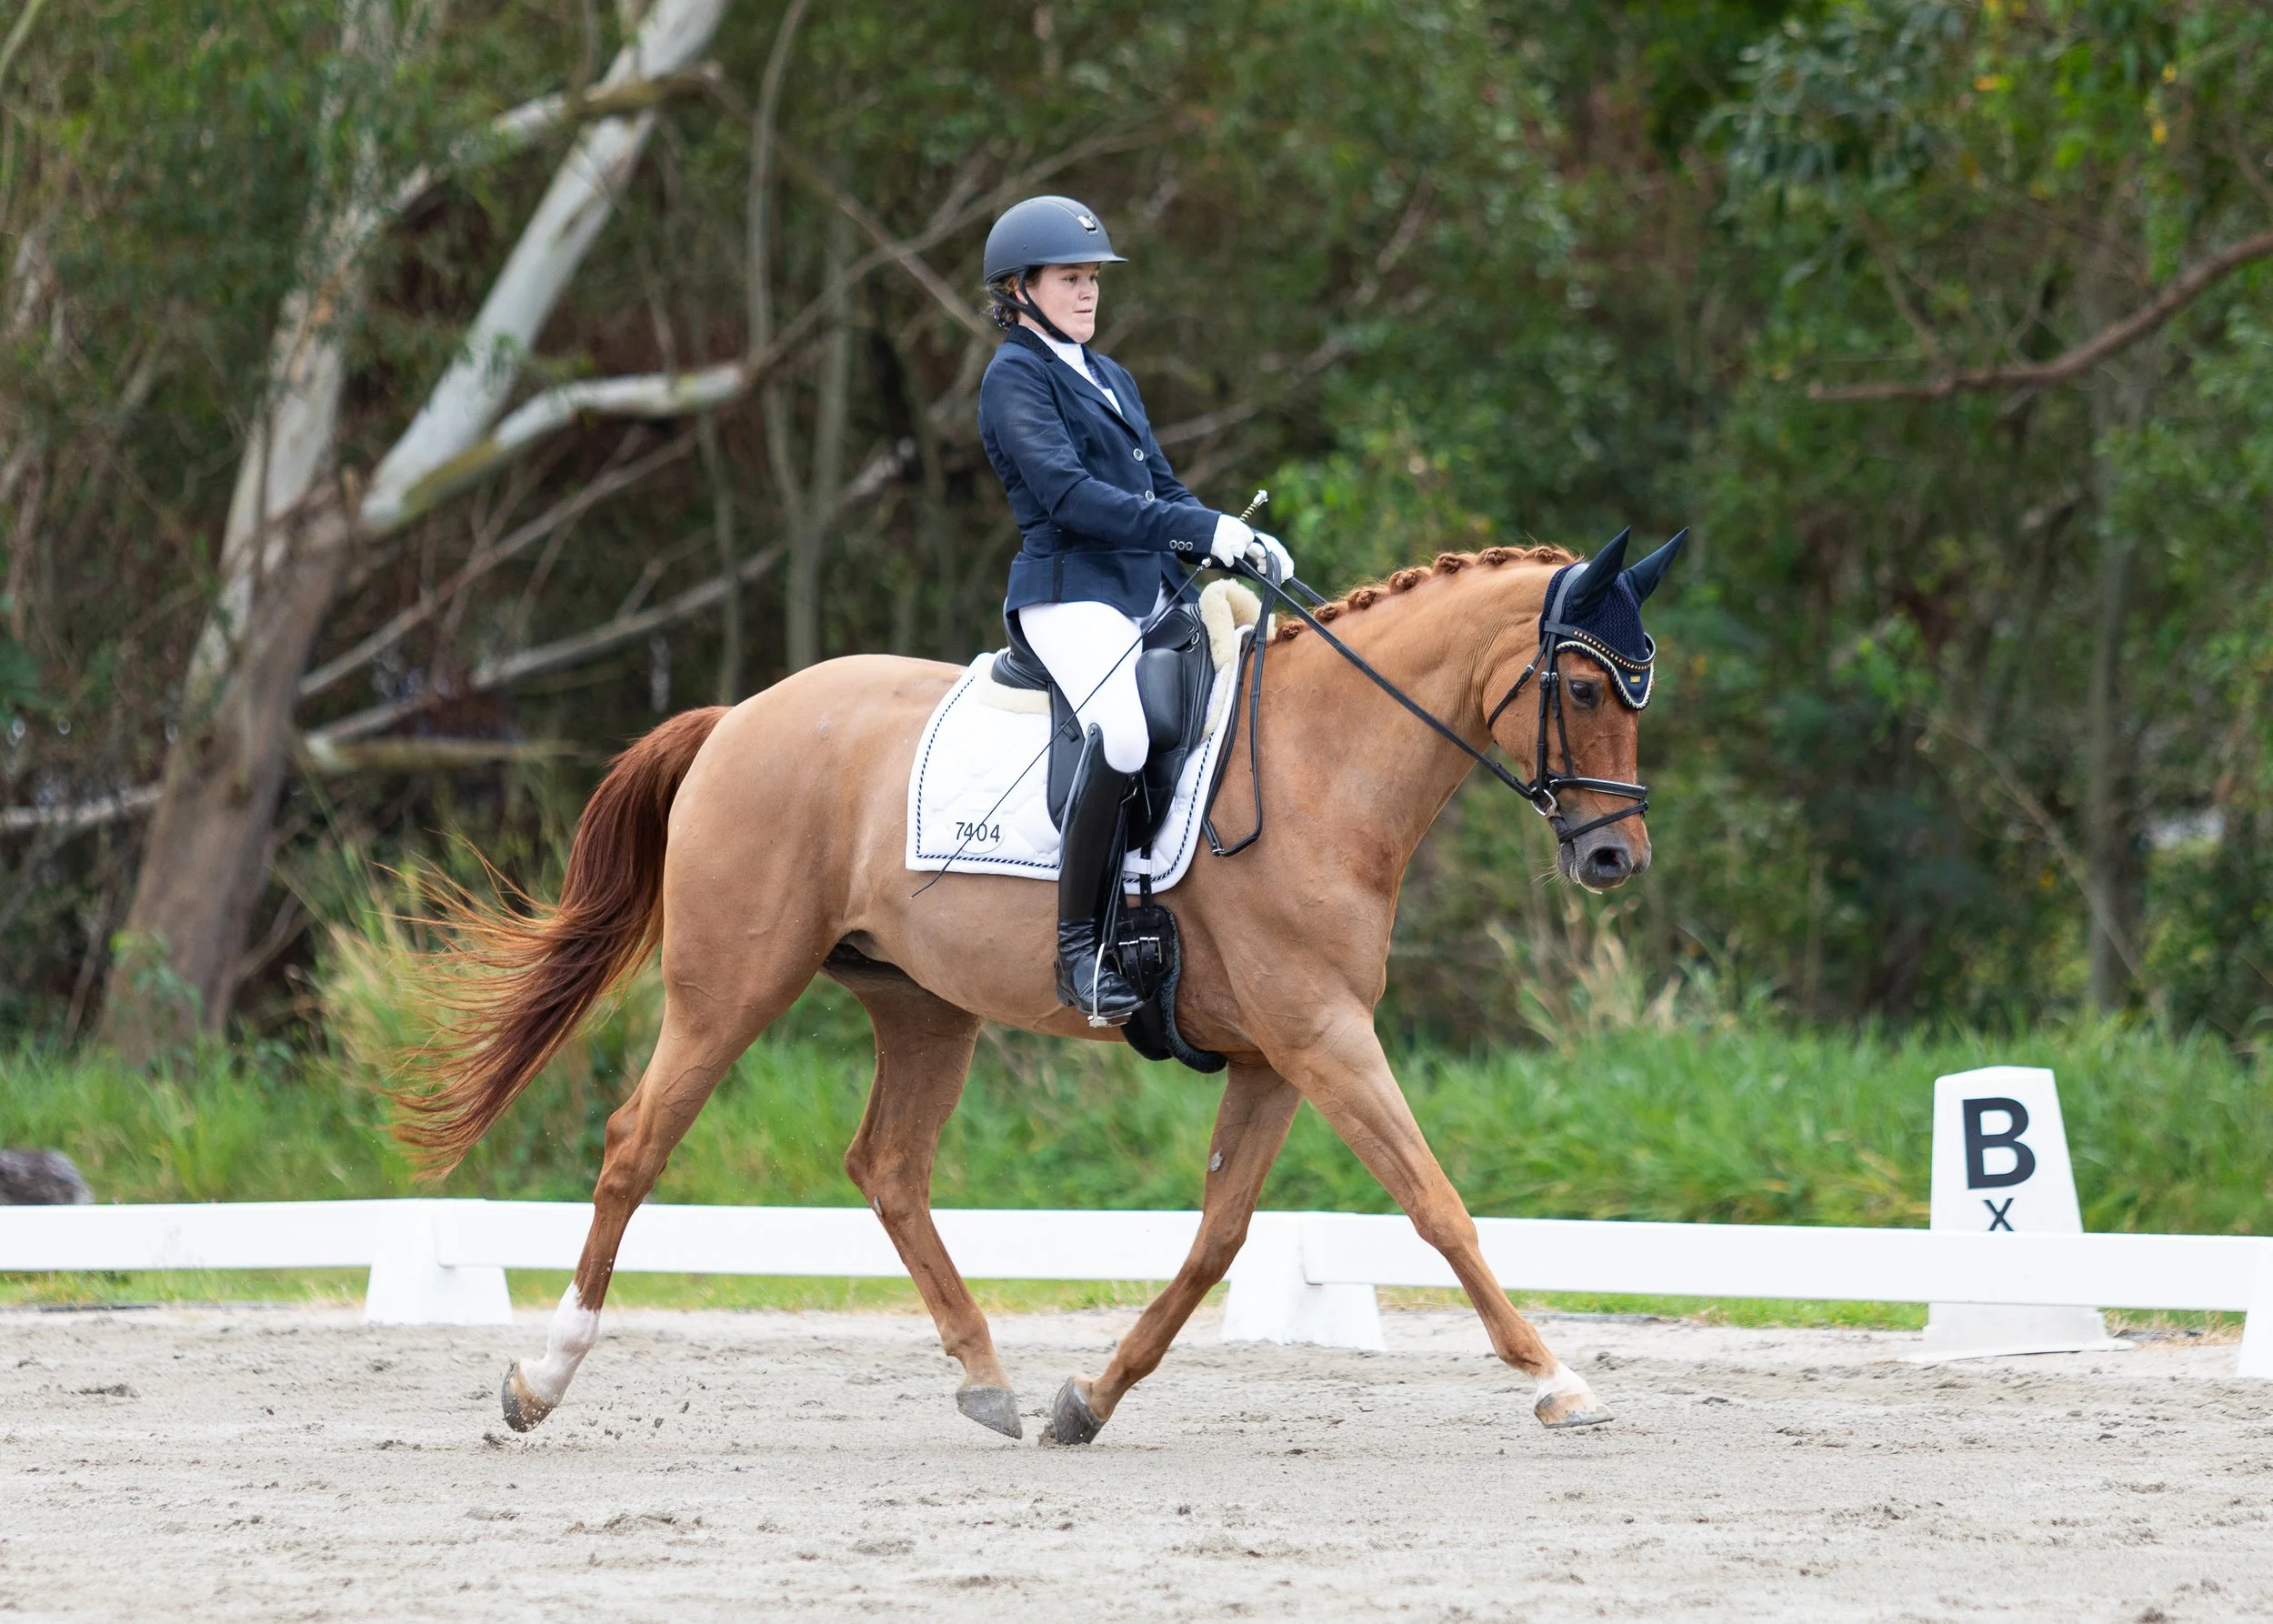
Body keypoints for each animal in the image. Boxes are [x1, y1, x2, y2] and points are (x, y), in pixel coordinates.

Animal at [397, 531, 1680, 1445]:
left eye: (1639, 691)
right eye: (1579, 688)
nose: (1615, 859)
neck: (1324, 761)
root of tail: (739, 718)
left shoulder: (1277, 1053)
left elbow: (1218, 1237)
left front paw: (1088, 1400)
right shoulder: (1322, 1034)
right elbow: (1435, 1204)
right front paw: (1559, 1380)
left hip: (923, 1004)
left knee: (888, 1167)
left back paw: (987, 1380)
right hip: (732, 986)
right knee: (636, 1142)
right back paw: (538, 1382)